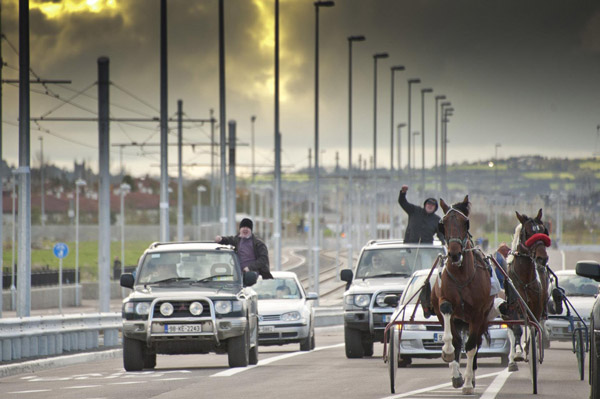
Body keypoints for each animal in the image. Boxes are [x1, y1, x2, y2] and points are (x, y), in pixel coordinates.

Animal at [434, 195, 494, 396]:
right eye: (443, 223)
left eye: (465, 222)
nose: (454, 253)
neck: (461, 274)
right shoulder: (445, 301)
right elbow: (453, 338)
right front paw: (447, 352)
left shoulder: (477, 314)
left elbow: (471, 348)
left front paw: (468, 383)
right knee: (458, 340)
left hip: (482, 319)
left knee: (475, 344)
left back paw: (471, 378)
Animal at [504, 209, 552, 372]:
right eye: (528, 232)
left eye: (543, 230)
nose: (542, 258)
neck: (525, 281)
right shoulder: (514, 305)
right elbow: (516, 329)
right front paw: (518, 351)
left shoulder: (536, 308)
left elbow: (534, 328)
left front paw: (528, 349)